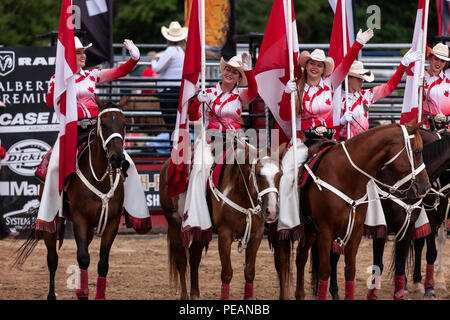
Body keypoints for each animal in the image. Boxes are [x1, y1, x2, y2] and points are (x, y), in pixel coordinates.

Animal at [15, 99, 127, 300]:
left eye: (125, 124)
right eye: (103, 124)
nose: (117, 158)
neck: (100, 180)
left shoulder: (112, 222)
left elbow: (102, 263)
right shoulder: (79, 220)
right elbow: (83, 258)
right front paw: (83, 293)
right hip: (51, 223)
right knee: (52, 258)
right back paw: (51, 295)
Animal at [160, 138, 282, 300]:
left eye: (280, 174)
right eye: (258, 174)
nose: (272, 211)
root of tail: (167, 165)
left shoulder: (256, 234)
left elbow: (249, 272)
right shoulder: (225, 235)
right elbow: (226, 274)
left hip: (201, 230)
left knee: (194, 257)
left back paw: (195, 294)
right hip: (174, 222)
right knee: (182, 261)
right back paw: (185, 296)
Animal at [272, 121, 430, 298]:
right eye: (417, 151)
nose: (426, 187)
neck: (345, 176)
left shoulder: (355, 231)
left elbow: (350, 270)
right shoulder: (326, 232)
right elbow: (325, 271)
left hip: (310, 230)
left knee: (301, 257)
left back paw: (300, 294)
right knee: (282, 261)